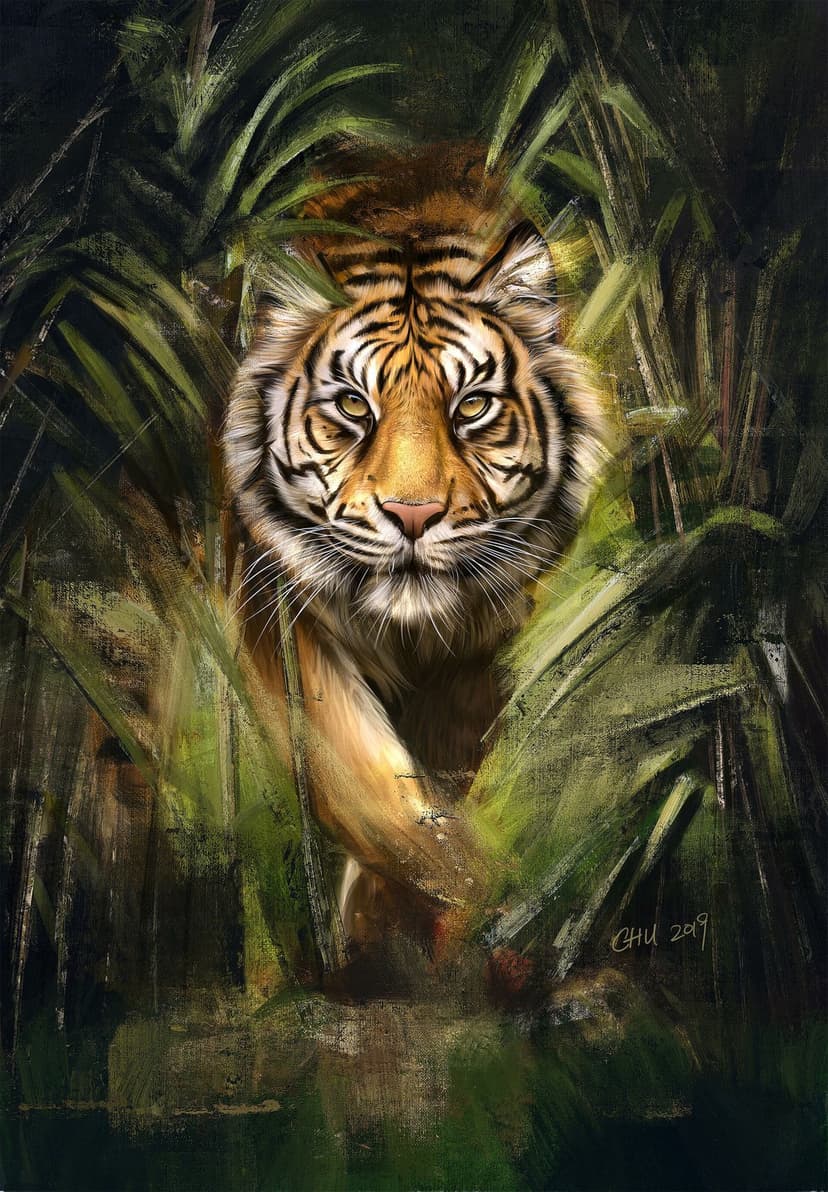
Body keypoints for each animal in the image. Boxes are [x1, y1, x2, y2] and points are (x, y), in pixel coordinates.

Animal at [223, 146, 608, 953]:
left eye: (473, 407)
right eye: (351, 406)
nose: (413, 514)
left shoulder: (480, 648)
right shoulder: (281, 616)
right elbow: (369, 787)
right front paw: (474, 894)